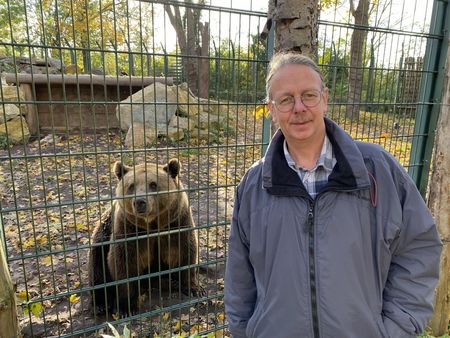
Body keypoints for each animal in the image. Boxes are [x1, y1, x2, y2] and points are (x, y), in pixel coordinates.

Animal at [89, 158, 201, 314]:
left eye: (153, 184)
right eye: (131, 186)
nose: (140, 201)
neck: (152, 225)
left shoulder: (176, 223)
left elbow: (185, 251)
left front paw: (193, 289)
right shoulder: (129, 229)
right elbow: (123, 262)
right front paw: (126, 307)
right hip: (103, 233)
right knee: (97, 266)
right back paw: (101, 304)